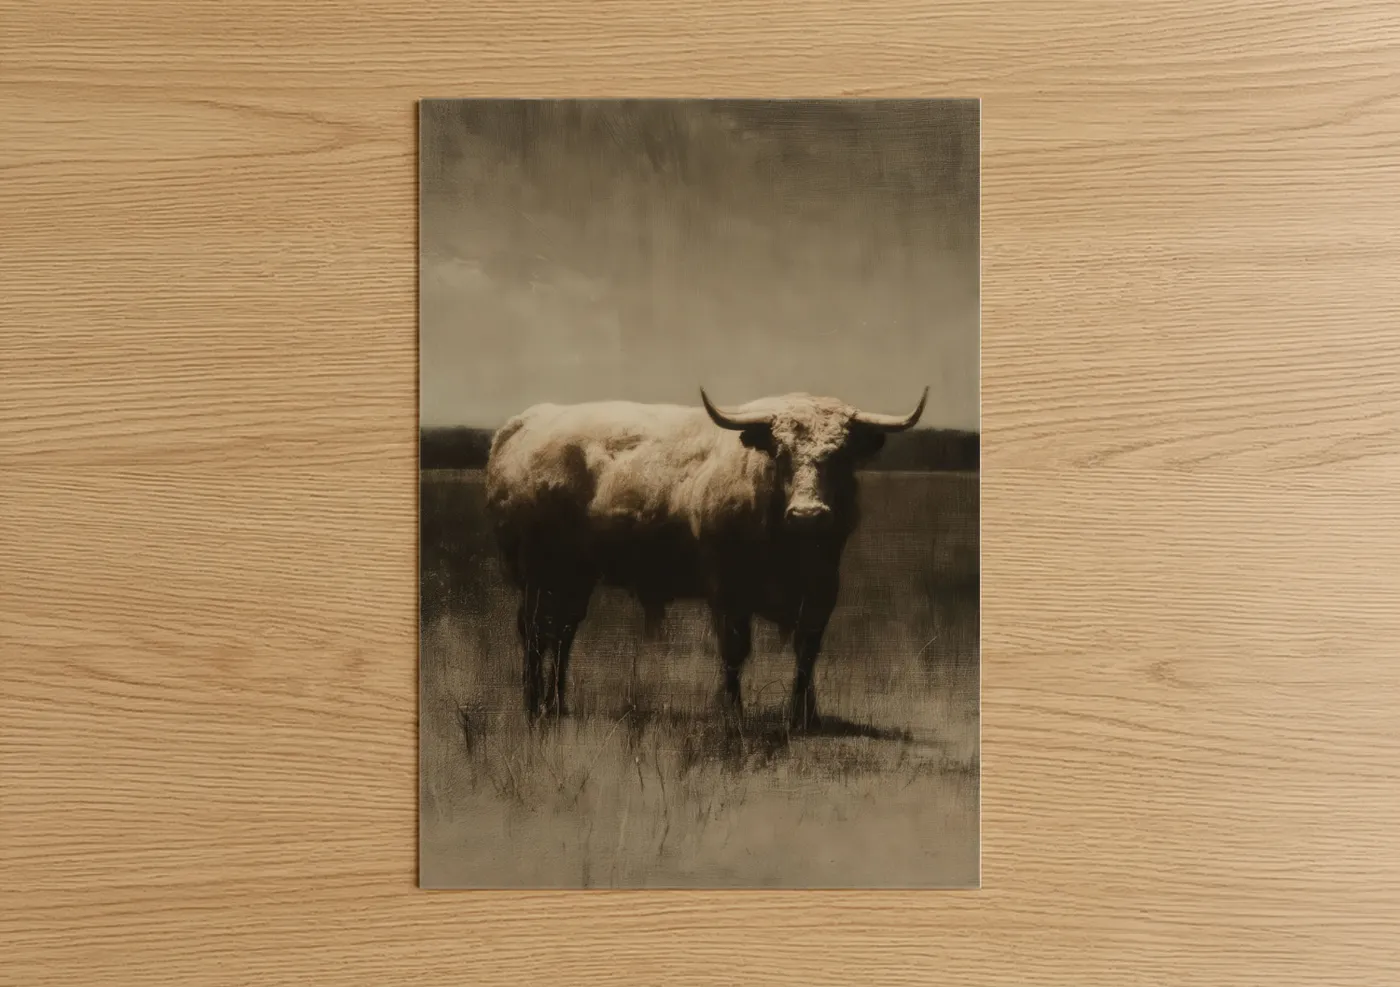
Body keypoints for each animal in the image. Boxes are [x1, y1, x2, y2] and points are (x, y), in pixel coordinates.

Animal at [483, 387, 927, 729]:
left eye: (840, 455)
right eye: (780, 453)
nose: (808, 515)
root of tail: (526, 423)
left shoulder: (821, 591)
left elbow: (807, 652)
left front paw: (805, 717)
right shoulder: (728, 591)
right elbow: (735, 651)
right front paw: (731, 713)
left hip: (575, 578)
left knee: (562, 634)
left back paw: (558, 704)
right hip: (538, 574)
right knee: (534, 632)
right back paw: (533, 706)